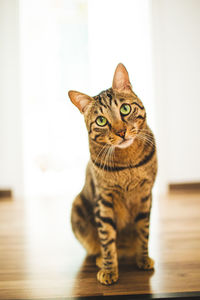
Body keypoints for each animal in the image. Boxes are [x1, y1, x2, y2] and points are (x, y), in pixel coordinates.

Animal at [68, 62, 157, 284]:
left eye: (125, 109)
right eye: (101, 121)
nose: (121, 132)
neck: (128, 164)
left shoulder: (145, 195)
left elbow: (143, 231)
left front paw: (143, 259)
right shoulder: (104, 199)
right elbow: (107, 239)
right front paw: (109, 270)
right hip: (77, 207)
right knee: (96, 248)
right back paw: (101, 260)